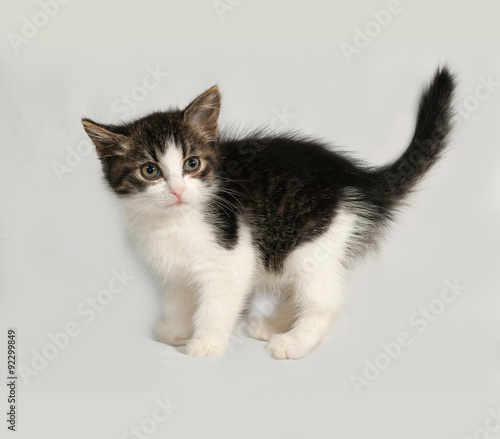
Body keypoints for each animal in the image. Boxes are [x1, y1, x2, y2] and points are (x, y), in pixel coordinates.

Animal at [83, 67, 458, 360]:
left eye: (192, 164)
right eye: (150, 171)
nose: (177, 190)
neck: (172, 222)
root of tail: (360, 180)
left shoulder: (231, 258)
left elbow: (217, 305)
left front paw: (205, 344)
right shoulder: (173, 268)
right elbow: (177, 298)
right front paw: (174, 331)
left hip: (313, 239)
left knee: (325, 299)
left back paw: (293, 342)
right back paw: (274, 325)